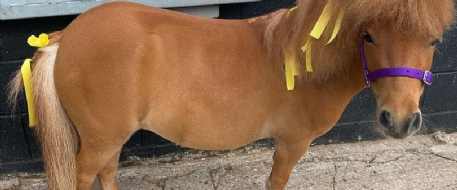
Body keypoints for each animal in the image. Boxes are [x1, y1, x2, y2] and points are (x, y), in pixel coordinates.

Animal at [8, 0, 456, 190]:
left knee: (107, 172)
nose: (400, 121)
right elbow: (276, 181)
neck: (306, 62)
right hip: (100, 138)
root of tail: (64, 38)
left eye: (434, 40)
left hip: (110, 137)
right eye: (369, 36)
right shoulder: (291, 143)